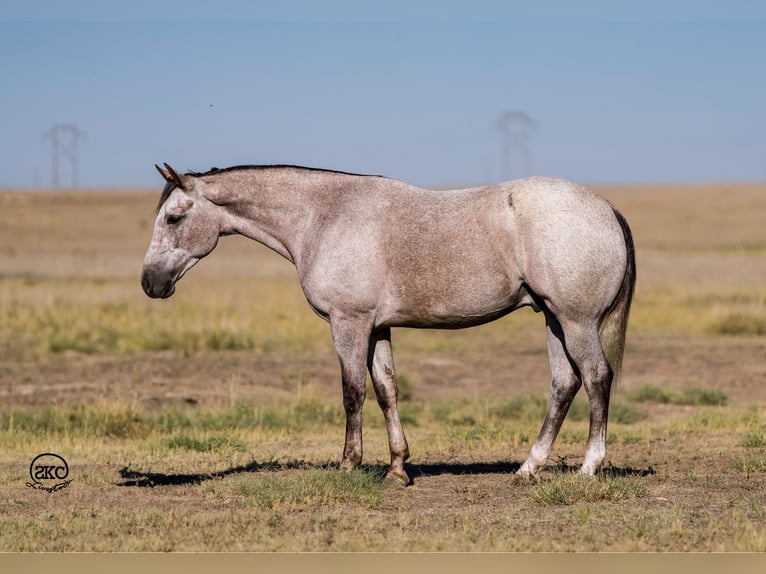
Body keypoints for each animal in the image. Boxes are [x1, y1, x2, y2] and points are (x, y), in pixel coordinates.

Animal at [142, 164, 636, 488]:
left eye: (173, 217)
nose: (149, 282)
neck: (323, 216)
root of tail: (607, 208)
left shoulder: (349, 324)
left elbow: (353, 392)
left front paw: (349, 465)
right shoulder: (377, 328)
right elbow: (386, 391)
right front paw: (398, 468)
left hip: (576, 322)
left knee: (596, 378)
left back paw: (588, 467)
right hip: (553, 319)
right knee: (563, 385)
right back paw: (529, 468)